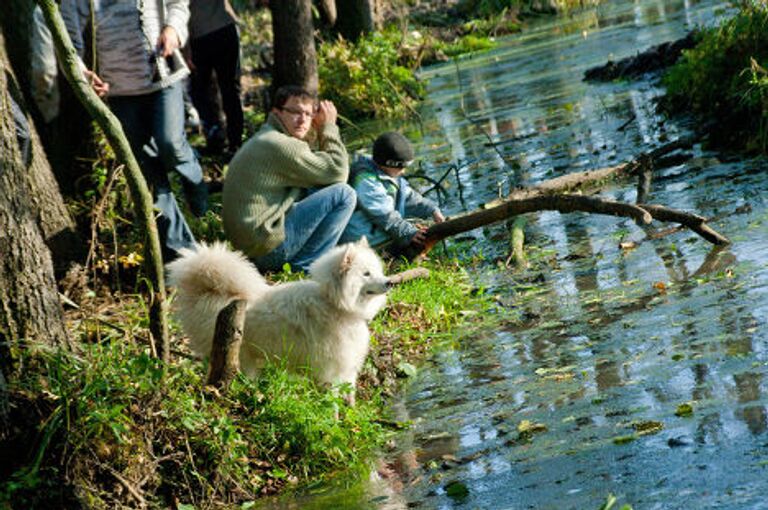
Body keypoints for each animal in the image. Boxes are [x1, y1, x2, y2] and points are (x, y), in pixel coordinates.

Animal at [165, 239, 388, 398]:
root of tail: (210, 293)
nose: (390, 282)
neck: (334, 304)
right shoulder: (330, 371)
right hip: (239, 357)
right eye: (366, 274)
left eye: (377, 271)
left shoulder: (347, 369)